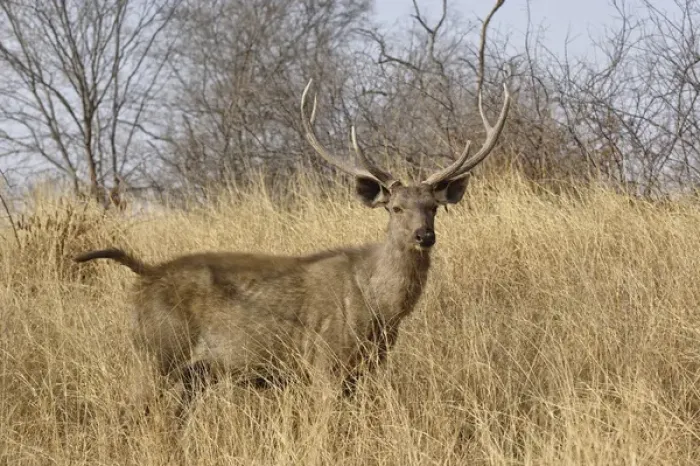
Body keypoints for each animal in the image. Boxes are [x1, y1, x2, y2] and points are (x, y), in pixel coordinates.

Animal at [74, 0, 510, 413]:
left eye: (433, 206)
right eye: (395, 208)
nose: (424, 235)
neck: (378, 306)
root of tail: (145, 274)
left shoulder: (363, 368)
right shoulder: (326, 361)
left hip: (189, 373)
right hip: (156, 354)